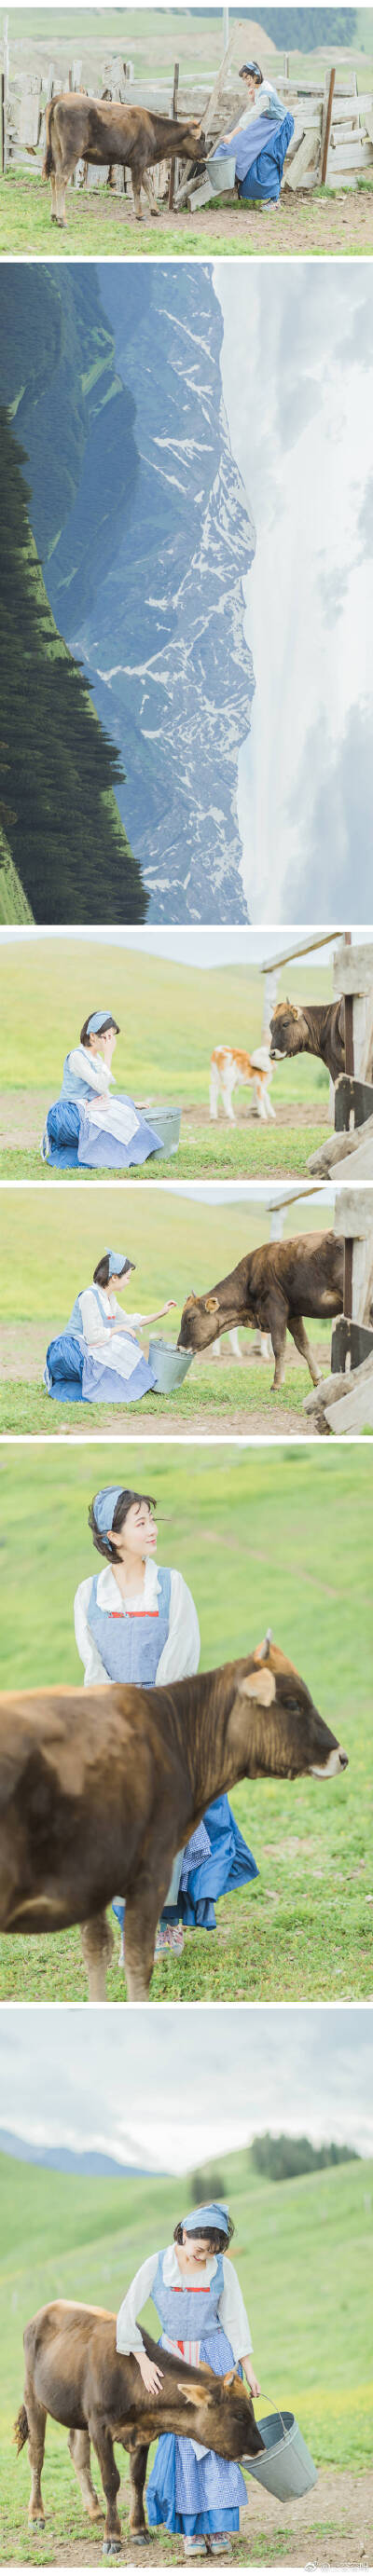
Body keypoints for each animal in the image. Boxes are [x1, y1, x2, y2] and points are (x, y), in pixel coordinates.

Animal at [15, 2308, 265, 2544]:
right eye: (239, 2415)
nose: (260, 2446)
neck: (130, 2377)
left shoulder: (143, 2431)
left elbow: (137, 2479)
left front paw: (139, 2529)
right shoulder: (99, 2427)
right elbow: (111, 2480)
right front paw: (112, 2536)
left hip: (78, 2414)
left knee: (78, 2454)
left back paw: (94, 2509)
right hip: (32, 2398)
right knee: (36, 2454)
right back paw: (36, 2515)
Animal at [43, 99, 205, 227]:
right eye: (201, 138)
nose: (206, 153)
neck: (153, 129)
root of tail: (60, 98)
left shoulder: (141, 163)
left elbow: (148, 185)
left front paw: (155, 210)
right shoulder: (139, 161)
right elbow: (137, 187)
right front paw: (139, 214)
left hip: (57, 150)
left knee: (53, 176)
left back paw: (53, 215)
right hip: (72, 153)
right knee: (61, 178)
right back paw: (62, 219)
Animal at [177, 1226, 344, 1391]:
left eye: (190, 1318)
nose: (179, 1347)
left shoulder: (276, 1309)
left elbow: (279, 1346)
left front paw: (277, 1383)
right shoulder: (293, 1315)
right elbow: (303, 1345)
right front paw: (318, 1379)